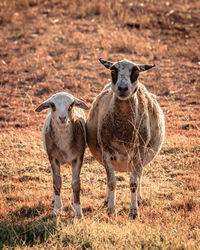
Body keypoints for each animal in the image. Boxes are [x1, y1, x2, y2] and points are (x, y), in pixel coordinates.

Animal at [86, 58, 165, 219]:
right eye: (113, 70)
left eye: (136, 72)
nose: (122, 88)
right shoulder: (106, 151)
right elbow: (111, 182)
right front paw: (111, 210)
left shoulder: (139, 151)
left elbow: (134, 182)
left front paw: (134, 212)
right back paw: (107, 199)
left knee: (140, 175)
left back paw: (139, 199)